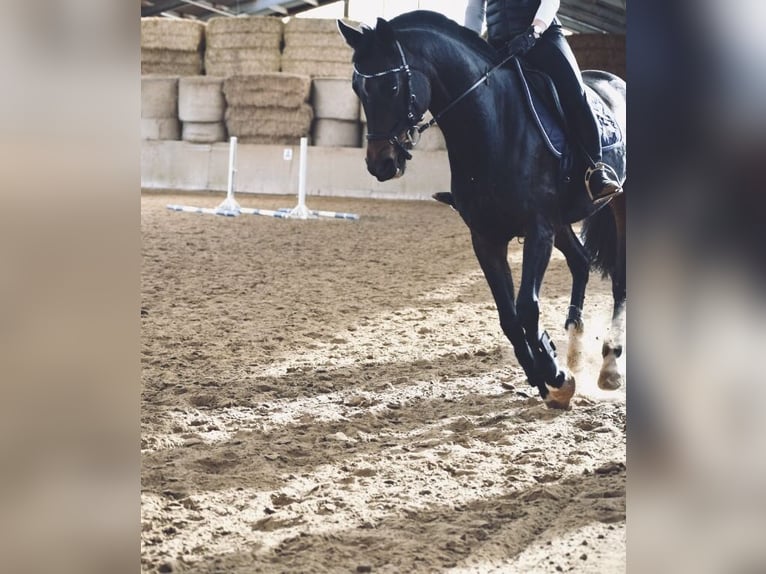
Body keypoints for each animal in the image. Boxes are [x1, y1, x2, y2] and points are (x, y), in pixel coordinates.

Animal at [338, 11, 626, 410]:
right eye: (357, 88)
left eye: (393, 87)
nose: (380, 164)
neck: (494, 125)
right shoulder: (487, 238)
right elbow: (509, 318)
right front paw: (545, 375)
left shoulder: (538, 229)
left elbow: (527, 308)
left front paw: (555, 377)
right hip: (562, 224)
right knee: (581, 262)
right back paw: (574, 346)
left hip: (616, 205)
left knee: (620, 280)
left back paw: (610, 366)